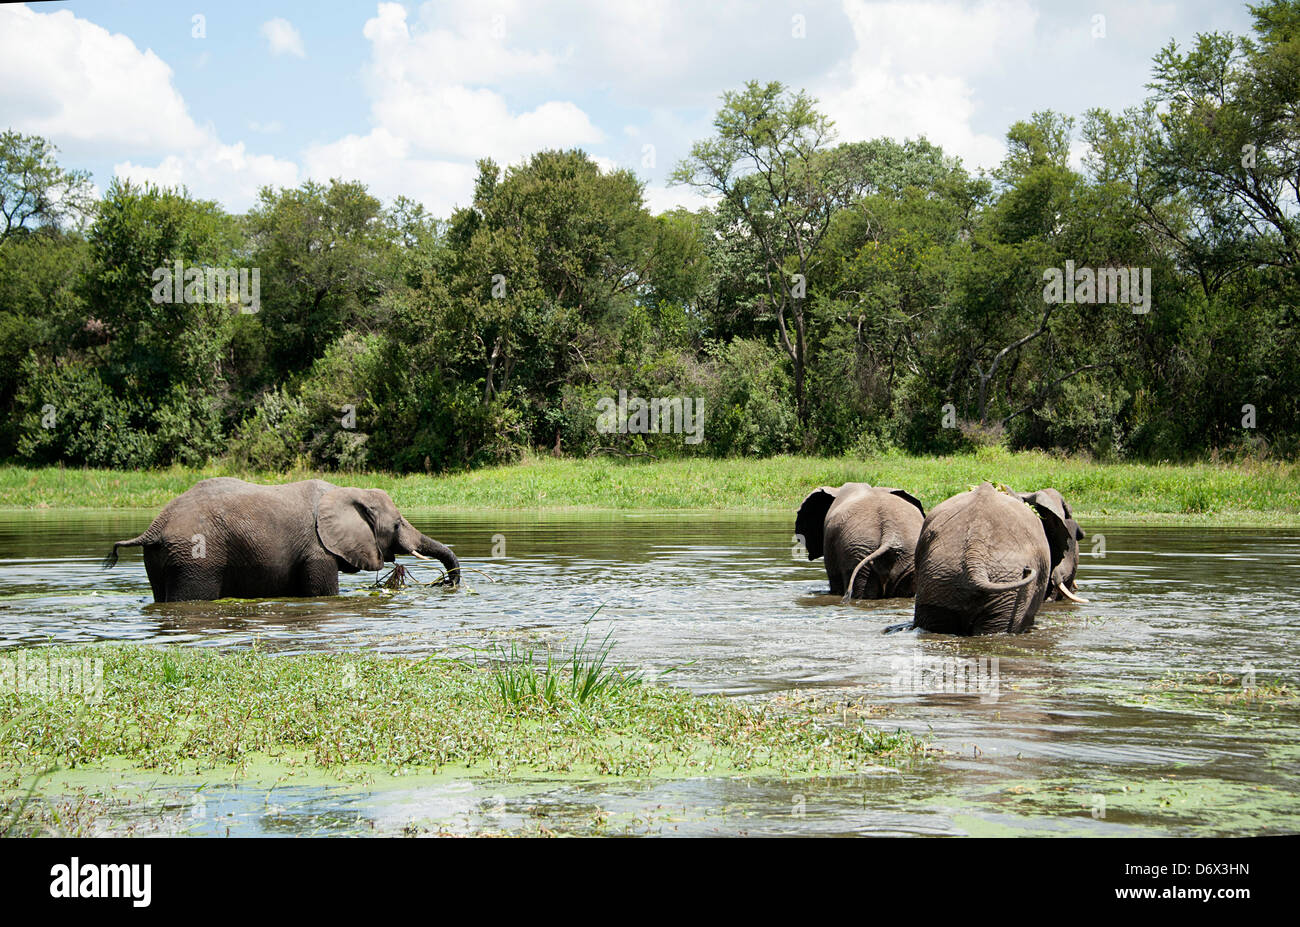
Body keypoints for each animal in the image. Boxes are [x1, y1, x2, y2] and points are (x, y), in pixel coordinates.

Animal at [105, 478, 462, 600]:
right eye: (398, 524)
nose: (448, 583)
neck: (346, 490)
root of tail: (155, 527)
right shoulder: (317, 551)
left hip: (163, 558)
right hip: (196, 559)